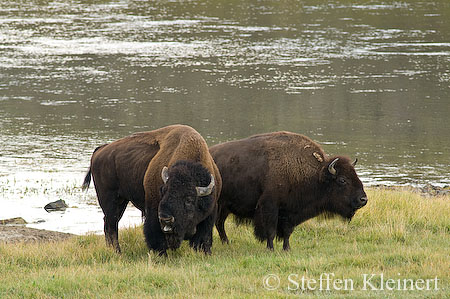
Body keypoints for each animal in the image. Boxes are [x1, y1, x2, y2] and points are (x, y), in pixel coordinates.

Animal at [82, 124, 221, 255]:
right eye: (163, 192)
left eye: (189, 200)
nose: (166, 219)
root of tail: (100, 150)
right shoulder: (153, 209)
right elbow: (155, 235)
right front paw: (161, 254)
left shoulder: (210, 212)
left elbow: (205, 236)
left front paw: (205, 253)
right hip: (109, 200)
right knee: (111, 226)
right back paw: (117, 252)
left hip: (121, 201)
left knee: (110, 223)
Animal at [209, 132, 368, 252]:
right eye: (342, 180)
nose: (363, 199)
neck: (316, 175)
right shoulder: (270, 206)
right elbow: (271, 231)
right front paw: (271, 249)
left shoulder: (290, 211)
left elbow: (287, 232)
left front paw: (287, 249)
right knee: (219, 223)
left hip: (225, 207)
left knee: (219, 223)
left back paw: (226, 242)